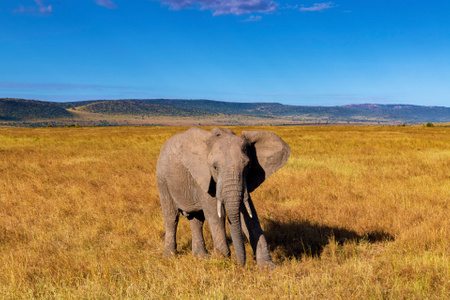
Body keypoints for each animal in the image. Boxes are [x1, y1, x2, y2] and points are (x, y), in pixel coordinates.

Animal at [157, 127, 292, 268]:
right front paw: (223, 261)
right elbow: (216, 214)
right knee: (171, 217)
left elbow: (250, 215)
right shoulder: (202, 175)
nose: (240, 265)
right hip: (162, 179)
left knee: (197, 220)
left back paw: (201, 257)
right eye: (215, 167)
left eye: (248, 167)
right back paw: (169, 257)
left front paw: (267, 267)